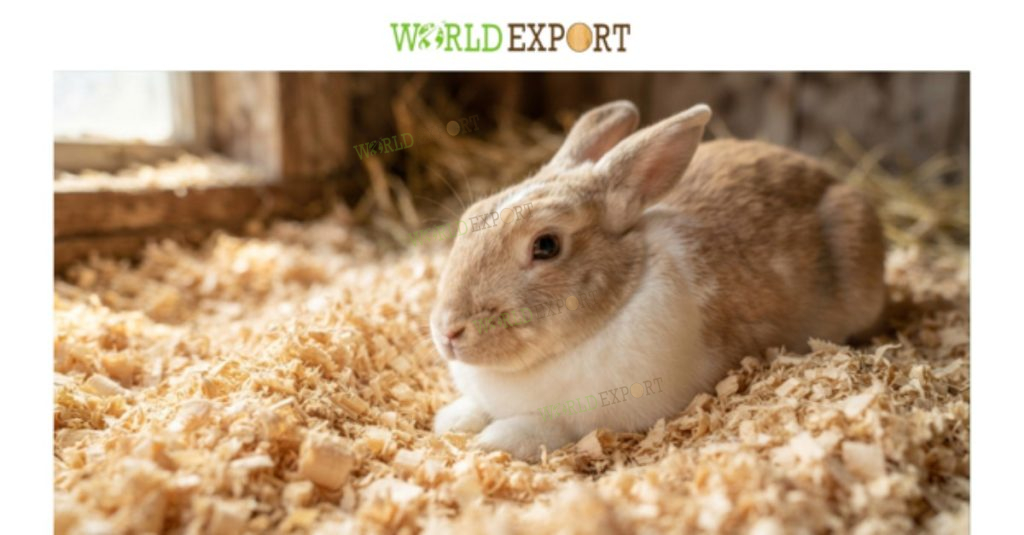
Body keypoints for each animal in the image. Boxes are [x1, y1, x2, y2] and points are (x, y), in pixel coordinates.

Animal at [429, 100, 886, 461]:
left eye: (546, 245)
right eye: (471, 217)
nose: (449, 331)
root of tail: (835, 180)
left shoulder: (598, 418)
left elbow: (548, 429)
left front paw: (492, 442)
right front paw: (450, 421)